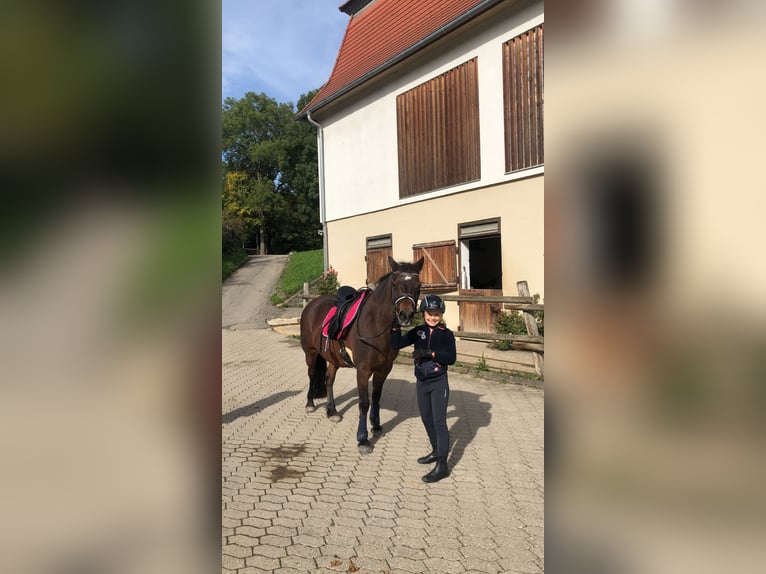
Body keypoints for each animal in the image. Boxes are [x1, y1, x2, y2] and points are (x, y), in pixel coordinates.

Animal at [300, 256, 424, 454]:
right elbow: (364, 403)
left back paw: (332, 411)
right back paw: (310, 404)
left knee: (329, 380)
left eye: (419, 285)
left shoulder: (383, 369)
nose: (406, 315)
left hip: (333, 358)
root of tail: (311, 304)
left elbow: (376, 398)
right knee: (312, 375)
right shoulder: (363, 371)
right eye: (395, 284)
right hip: (311, 354)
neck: (375, 324)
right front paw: (363, 439)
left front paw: (377, 426)